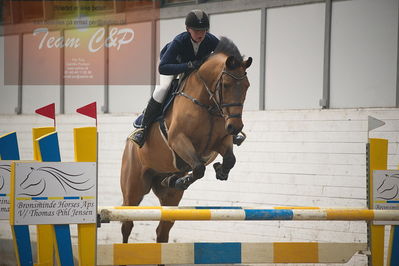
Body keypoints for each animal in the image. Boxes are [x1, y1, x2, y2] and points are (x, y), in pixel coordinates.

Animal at [120, 36, 255, 244]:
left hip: (170, 198)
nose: (235, 127)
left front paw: (220, 170)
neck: (207, 103)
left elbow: (229, 159)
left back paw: (172, 179)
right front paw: (185, 179)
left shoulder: (222, 141)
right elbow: (198, 168)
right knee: (127, 224)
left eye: (247, 86)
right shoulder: (178, 140)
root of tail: (129, 146)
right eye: (226, 85)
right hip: (133, 189)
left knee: (163, 230)